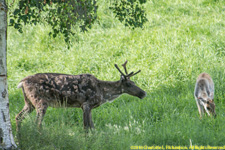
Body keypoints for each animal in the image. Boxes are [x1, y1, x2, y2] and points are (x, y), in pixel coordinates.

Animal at [15, 60, 146, 130]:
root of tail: (22, 82)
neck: (102, 91)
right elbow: (86, 127)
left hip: (29, 103)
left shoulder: (89, 107)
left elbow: (92, 126)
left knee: (18, 117)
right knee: (37, 123)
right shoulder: (86, 104)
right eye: (128, 84)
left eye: (134, 82)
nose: (143, 93)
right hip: (40, 102)